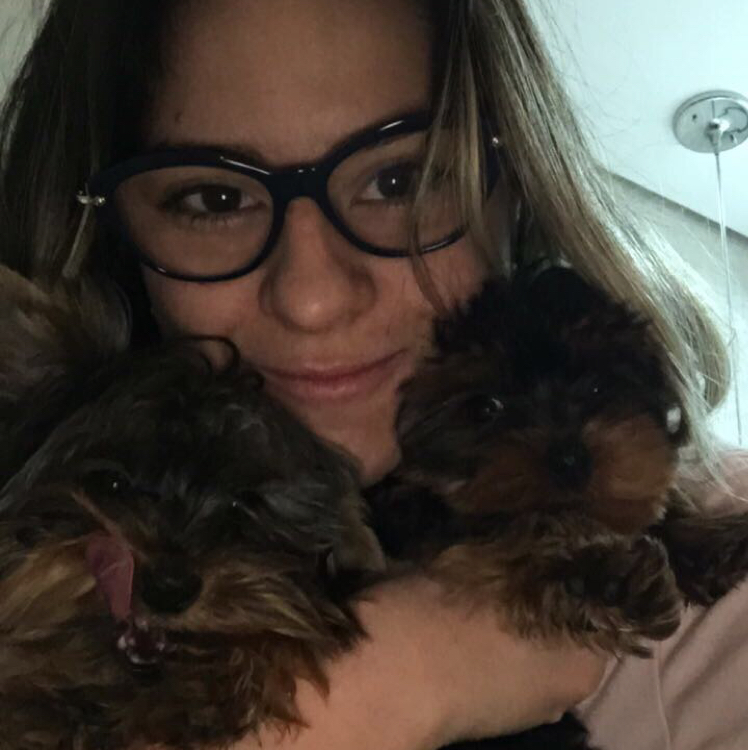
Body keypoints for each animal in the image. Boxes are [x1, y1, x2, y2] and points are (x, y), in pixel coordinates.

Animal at [369, 263, 748, 749]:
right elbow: (515, 532)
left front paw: (709, 542)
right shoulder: (421, 521)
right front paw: (606, 576)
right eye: (486, 408)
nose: (569, 458)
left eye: (598, 385)